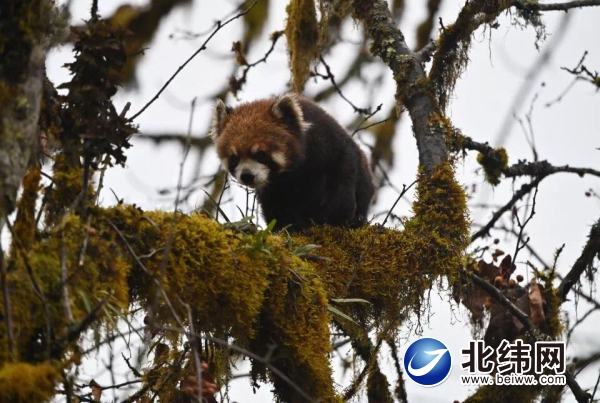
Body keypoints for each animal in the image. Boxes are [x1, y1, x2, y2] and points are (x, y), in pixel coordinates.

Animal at [209, 92, 372, 230]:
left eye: (260, 154)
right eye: (234, 158)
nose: (247, 176)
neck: (292, 172)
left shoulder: (327, 139)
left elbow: (343, 169)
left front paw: (340, 214)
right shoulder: (273, 187)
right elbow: (274, 205)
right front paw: (288, 227)